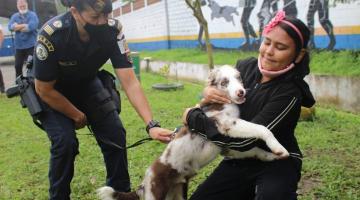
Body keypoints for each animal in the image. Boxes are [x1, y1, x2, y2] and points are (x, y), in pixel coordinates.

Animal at [97, 65, 290, 200]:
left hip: (178, 193)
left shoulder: (227, 146)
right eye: (224, 82)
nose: (241, 92)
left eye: (238, 78)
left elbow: (256, 150)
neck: (221, 102)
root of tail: (143, 183)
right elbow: (262, 128)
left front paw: (272, 155)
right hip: (156, 194)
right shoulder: (225, 124)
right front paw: (278, 148)